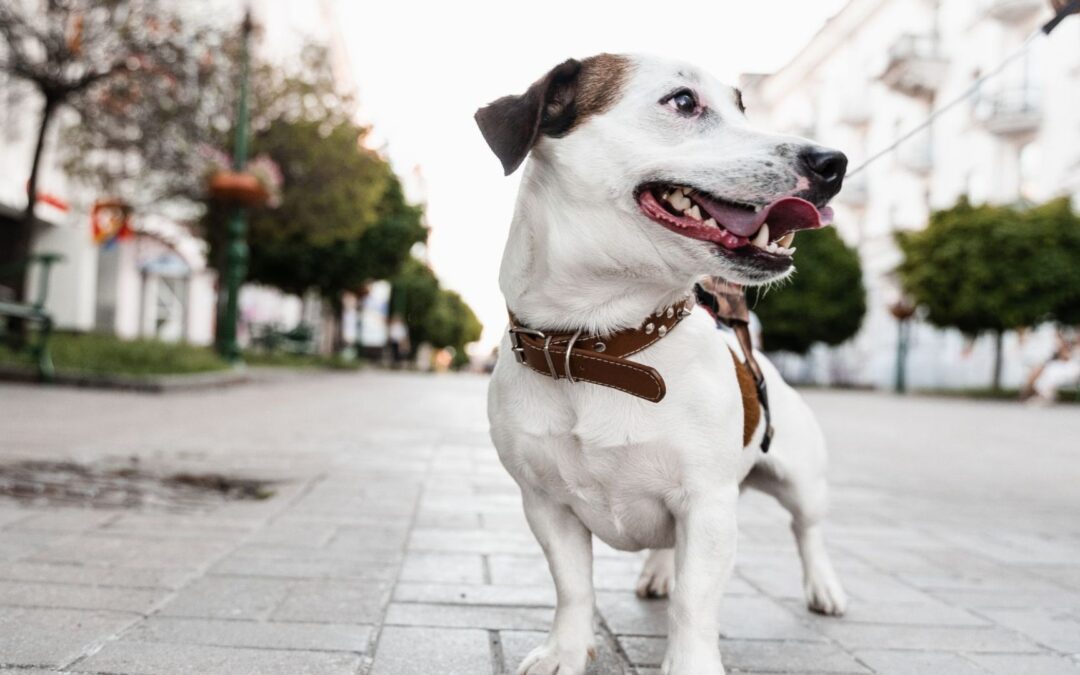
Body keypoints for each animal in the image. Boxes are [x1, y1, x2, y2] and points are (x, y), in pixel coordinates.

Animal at [481, 54, 851, 673]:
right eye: (682, 102)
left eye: (743, 106)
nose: (833, 163)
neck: (599, 344)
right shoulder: (545, 505)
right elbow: (572, 586)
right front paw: (565, 650)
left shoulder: (707, 505)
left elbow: (694, 602)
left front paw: (691, 662)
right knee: (666, 547)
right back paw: (657, 573)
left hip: (800, 479)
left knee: (810, 531)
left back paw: (824, 586)